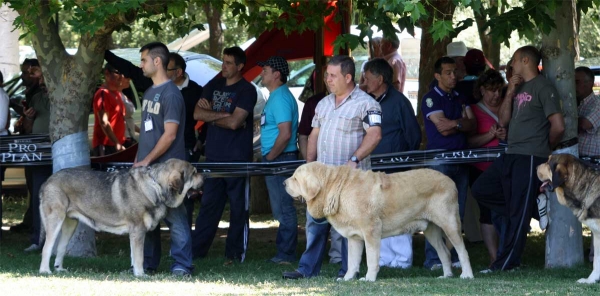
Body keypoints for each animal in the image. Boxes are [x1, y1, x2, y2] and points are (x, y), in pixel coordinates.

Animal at [39, 158, 205, 276]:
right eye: (194, 173)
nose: (204, 176)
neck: (156, 186)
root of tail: (47, 181)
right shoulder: (138, 231)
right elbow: (139, 256)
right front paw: (141, 275)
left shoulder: (137, 233)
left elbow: (134, 255)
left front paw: (135, 272)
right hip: (55, 221)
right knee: (47, 247)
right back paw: (45, 271)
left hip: (70, 225)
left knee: (61, 247)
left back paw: (59, 269)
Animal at [284, 163, 476, 280]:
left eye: (295, 178)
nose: (284, 183)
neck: (333, 187)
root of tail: (450, 180)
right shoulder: (354, 238)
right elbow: (352, 261)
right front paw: (347, 278)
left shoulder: (371, 231)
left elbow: (371, 258)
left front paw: (369, 278)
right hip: (431, 230)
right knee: (444, 252)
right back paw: (447, 275)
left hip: (450, 224)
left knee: (462, 251)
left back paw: (467, 275)